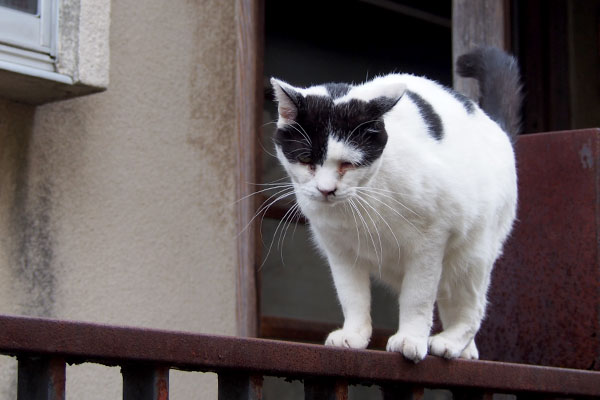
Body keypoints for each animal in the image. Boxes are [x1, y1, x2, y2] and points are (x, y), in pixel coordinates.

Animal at [270, 47, 524, 362]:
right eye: (306, 160)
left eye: (348, 164)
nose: (326, 190)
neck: (363, 199)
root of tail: (494, 125)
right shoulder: (339, 249)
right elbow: (351, 295)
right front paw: (354, 335)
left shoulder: (430, 241)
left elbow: (418, 297)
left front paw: (410, 339)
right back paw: (466, 351)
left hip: (472, 256)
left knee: (473, 307)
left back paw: (451, 343)